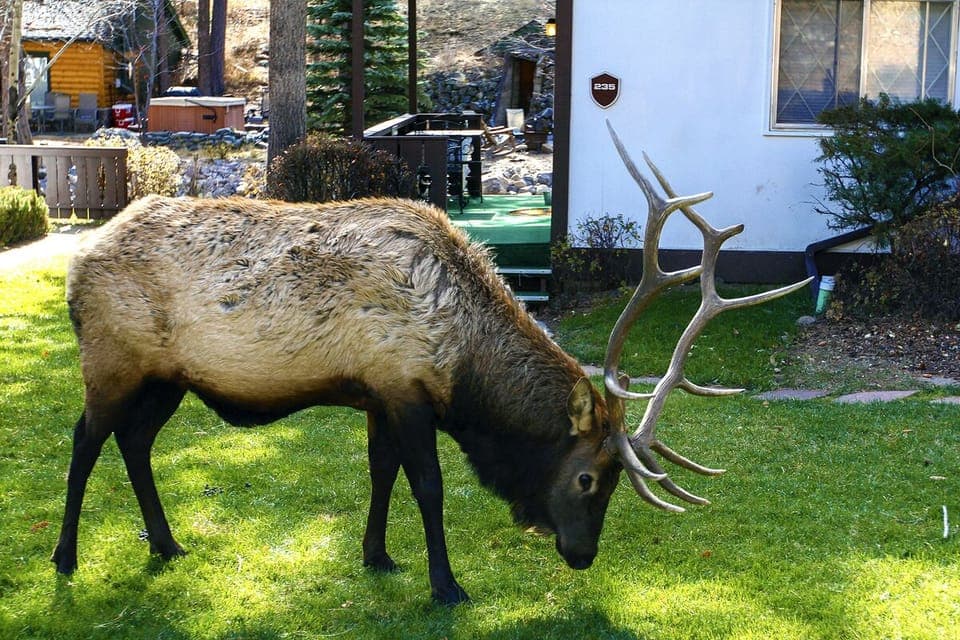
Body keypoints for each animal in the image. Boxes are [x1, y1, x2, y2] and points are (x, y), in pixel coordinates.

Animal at [51, 123, 809, 604]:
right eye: (589, 478)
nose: (583, 554)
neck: (464, 367)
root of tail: (76, 267)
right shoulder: (405, 388)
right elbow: (430, 487)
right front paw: (445, 585)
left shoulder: (377, 393)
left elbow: (380, 473)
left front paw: (378, 555)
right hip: (111, 361)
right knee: (85, 440)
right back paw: (66, 558)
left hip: (164, 379)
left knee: (134, 441)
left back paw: (165, 544)